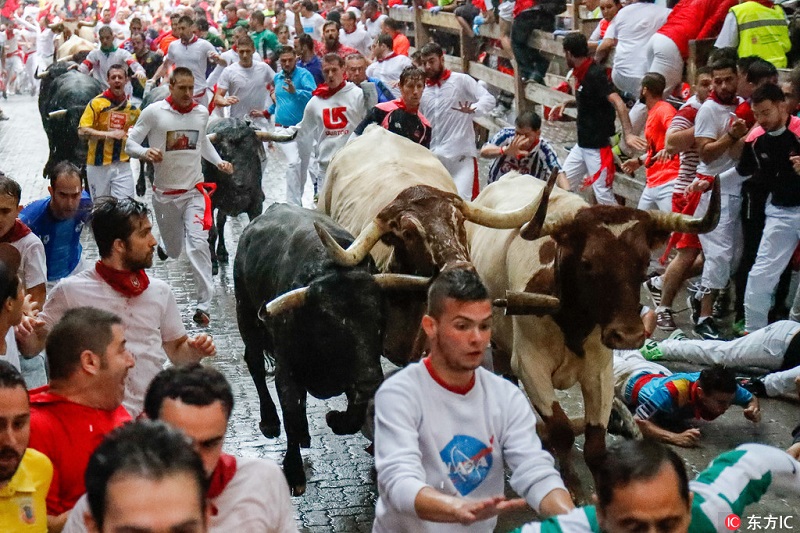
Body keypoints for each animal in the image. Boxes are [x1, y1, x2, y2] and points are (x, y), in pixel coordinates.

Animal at [233, 204, 432, 494]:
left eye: (380, 322)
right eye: (330, 327)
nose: (370, 382)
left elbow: (353, 416)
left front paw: (334, 420)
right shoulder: (286, 368)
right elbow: (290, 411)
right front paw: (294, 472)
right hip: (246, 316)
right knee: (255, 363)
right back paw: (269, 420)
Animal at [466, 170, 720, 482]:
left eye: (644, 261)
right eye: (588, 263)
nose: (629, 335)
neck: (572, 320)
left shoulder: (600, 371)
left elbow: (596, 445)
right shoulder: (530, 365)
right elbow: (561, 429)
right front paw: (572, 482)